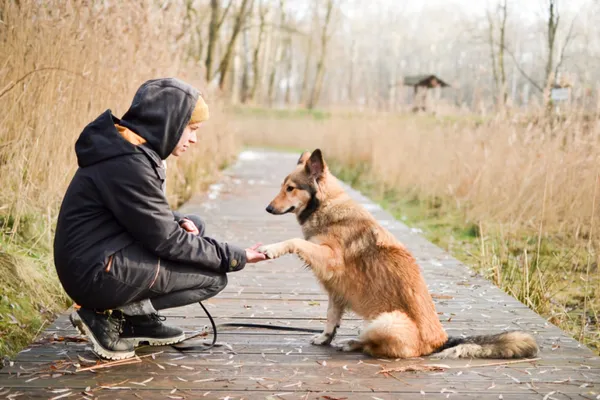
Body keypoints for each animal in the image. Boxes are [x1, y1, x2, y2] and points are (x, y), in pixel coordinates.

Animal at [258, 148, 540, 360]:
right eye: (283, 186)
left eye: (291, 188)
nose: (268, 208)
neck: (326, 207)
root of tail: (440, 342)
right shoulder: (336, 291)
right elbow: (331, 318)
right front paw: (325, 337)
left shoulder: (331, 260)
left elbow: (295, 241)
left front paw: (271, 248)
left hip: (386, 321)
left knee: (375, 346)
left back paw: (352, 343)